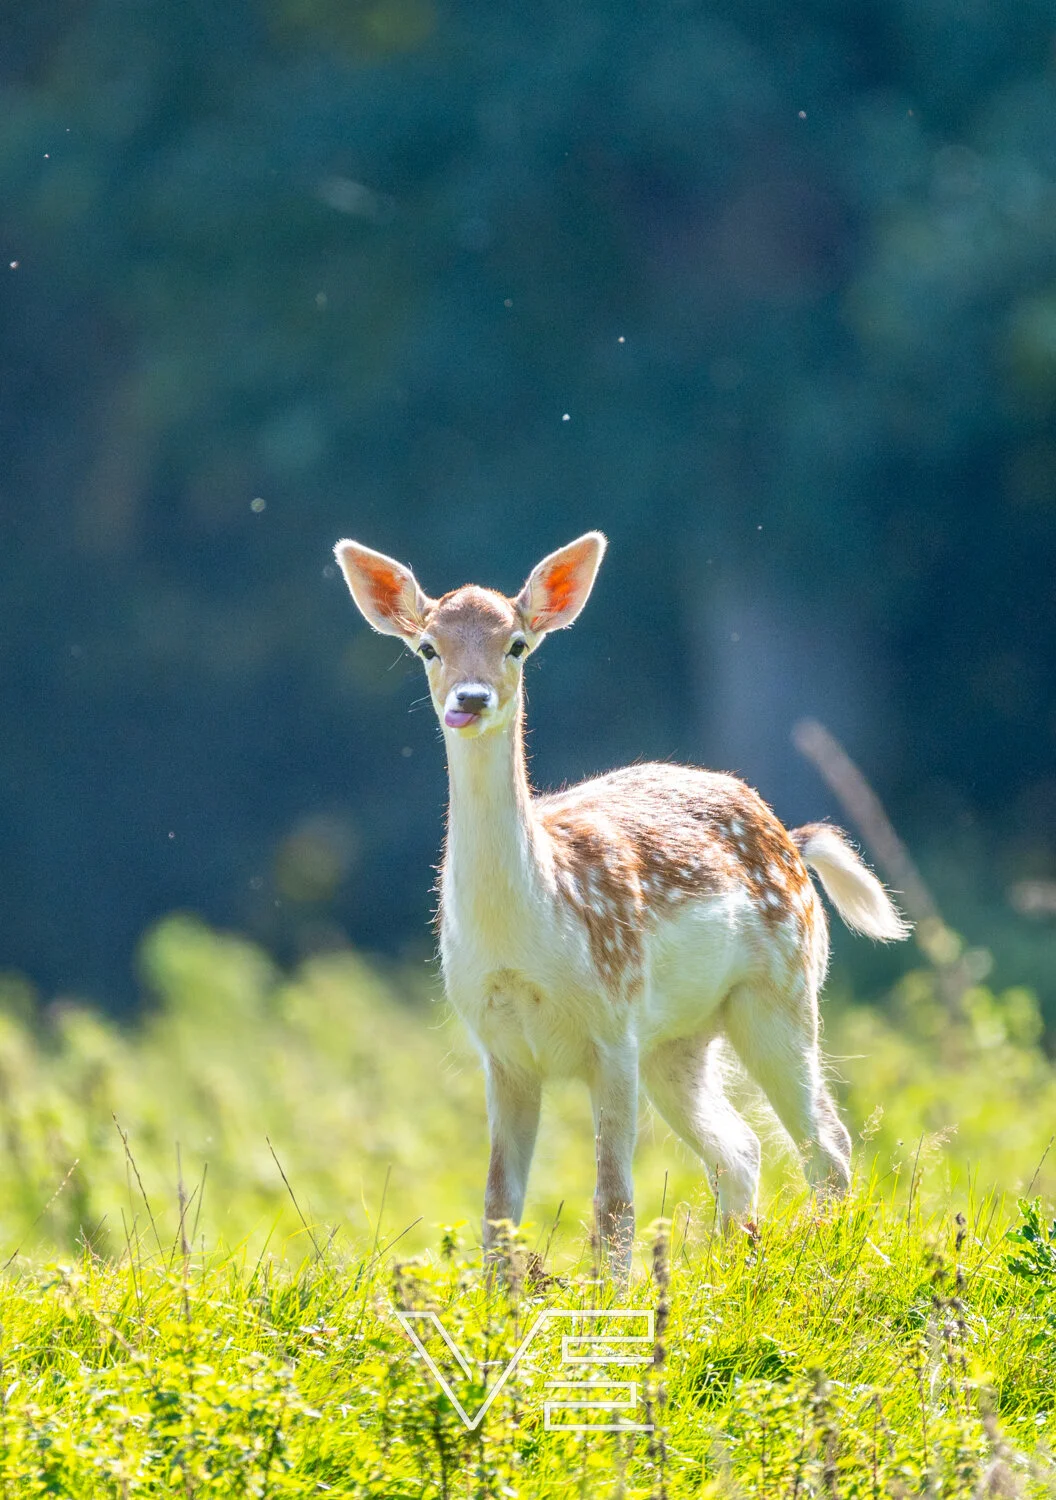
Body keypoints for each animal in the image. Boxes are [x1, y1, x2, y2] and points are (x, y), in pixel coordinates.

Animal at [334, 530, 910, 1279]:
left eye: (517, 643)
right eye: (428, 646)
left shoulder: (611, 1024)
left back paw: (827, 1261)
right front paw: (498, 1301)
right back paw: (735, 1265)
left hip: (780, 990)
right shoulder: (501, 1048)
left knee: (826, 1143)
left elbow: (613, 1202)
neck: (529, 933)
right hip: (675, 1042)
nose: (472, 697)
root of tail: (790, 834)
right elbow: (497, 1206)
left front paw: (611, 1295)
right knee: (742, 1148)